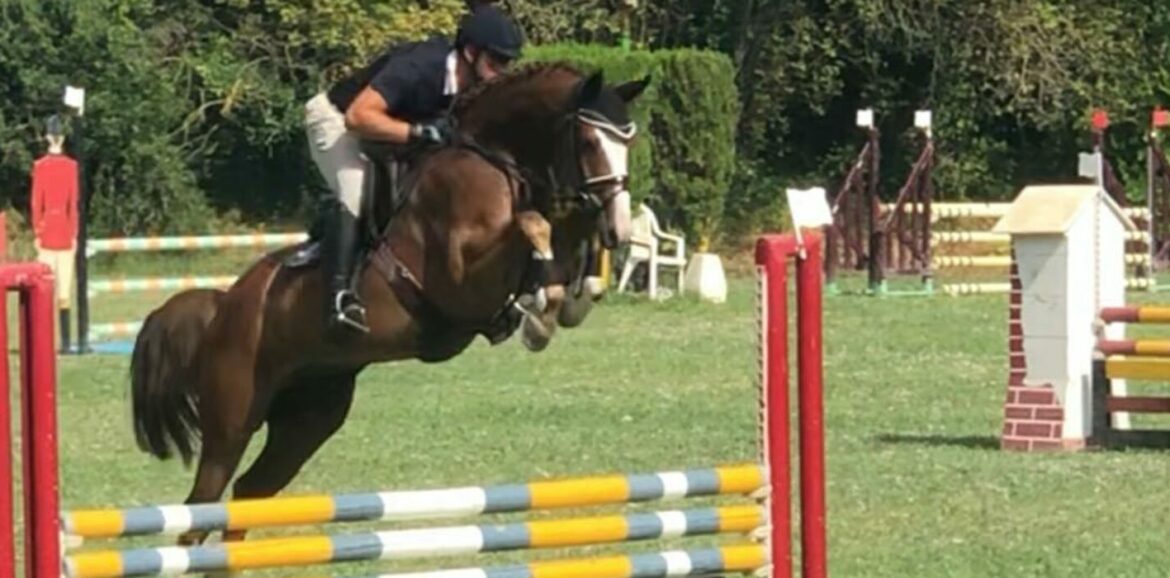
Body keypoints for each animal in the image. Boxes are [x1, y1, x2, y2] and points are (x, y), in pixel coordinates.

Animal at [134, 63, 659, 545]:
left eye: (628, 143)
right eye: (589, 141)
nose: (619, 226)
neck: (493, 162)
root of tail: (224, 306)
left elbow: (559, 241)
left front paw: (567, 299)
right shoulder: (459, 281)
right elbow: (534, 225)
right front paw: (541, 311)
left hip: (310, 418)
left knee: (248, 494)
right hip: (232, 419)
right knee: (202, 505)